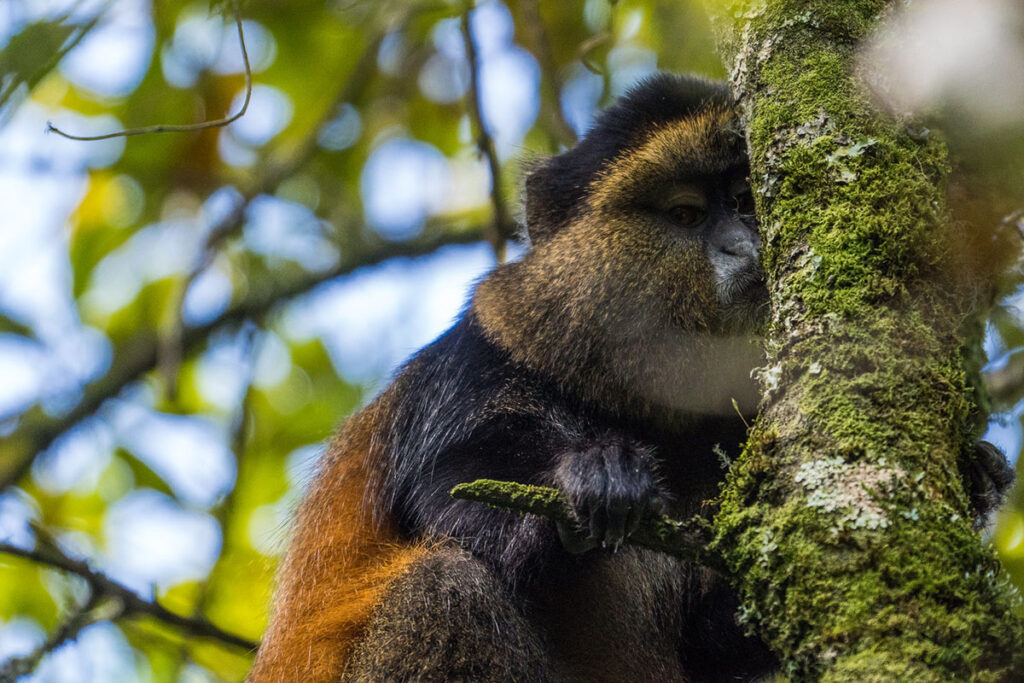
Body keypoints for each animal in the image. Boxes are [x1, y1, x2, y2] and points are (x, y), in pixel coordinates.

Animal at [247, 74, 1013, 682]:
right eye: (685, 214)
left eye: (746, 200)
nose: (745, 246)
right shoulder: (473, 372)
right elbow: (460, 492)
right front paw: (594, 475)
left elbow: (720, 632)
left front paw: (976, 476)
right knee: (445, 588)